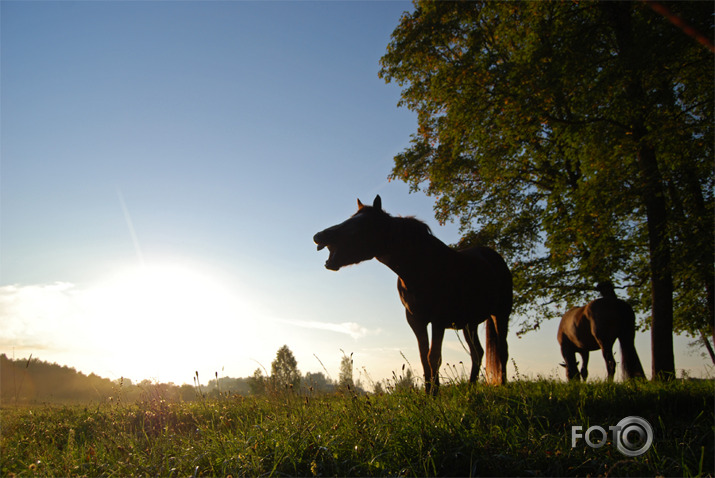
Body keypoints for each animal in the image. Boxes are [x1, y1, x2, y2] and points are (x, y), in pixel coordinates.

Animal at [314, 194, 516, 392]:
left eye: (364, 224)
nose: (320, 236)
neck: (421, 265)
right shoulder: (416, 320)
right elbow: (424, 357)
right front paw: (429, 394)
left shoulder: (438, 320)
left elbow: (434, 357)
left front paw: (434, 394)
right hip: (469, 324)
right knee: (477, 353)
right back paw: (470, 389)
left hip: (500, 314)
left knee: (502, 350)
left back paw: (503, 386)